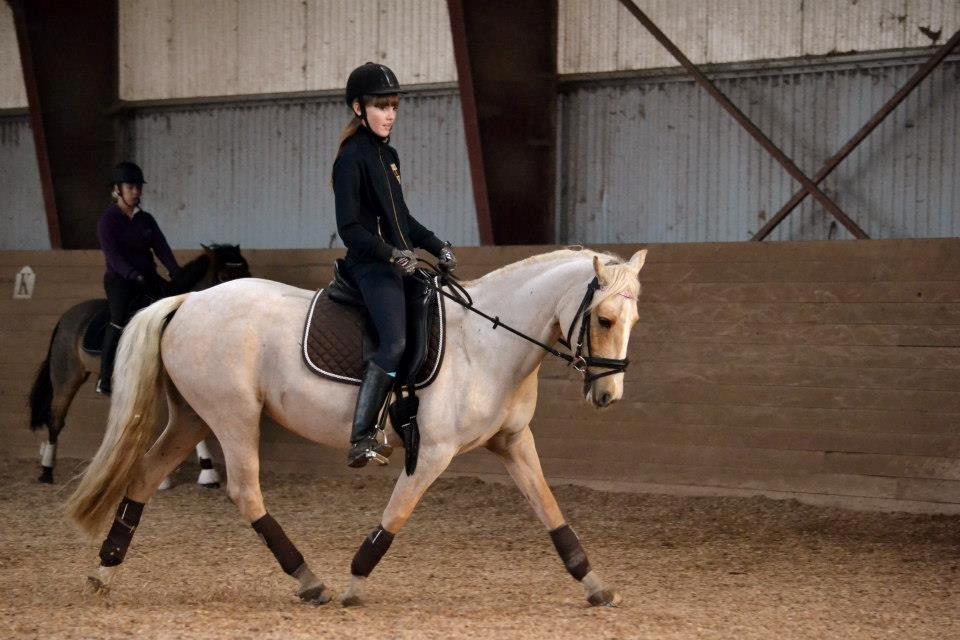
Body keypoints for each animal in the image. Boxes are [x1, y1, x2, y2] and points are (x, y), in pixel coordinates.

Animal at [31, 245, 251, 484]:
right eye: (223, 277)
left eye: (247, 273)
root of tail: (67, 317)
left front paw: (207, 470)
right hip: (67, 377)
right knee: (56, 420)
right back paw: (47, 471)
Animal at [65, 248, 644, 608]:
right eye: (604, 319)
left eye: (633, 321)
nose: (609, 396)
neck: (488, 341)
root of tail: (188, 301)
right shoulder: (432, 452)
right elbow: (395, 516)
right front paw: (353, 583)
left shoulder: (514, 443)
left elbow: (551, 511)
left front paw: (596, 585)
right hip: (232, 415)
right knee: (245, 492)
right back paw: (310, 582)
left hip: (193, 416)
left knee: (144, 476)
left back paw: (104, 571)